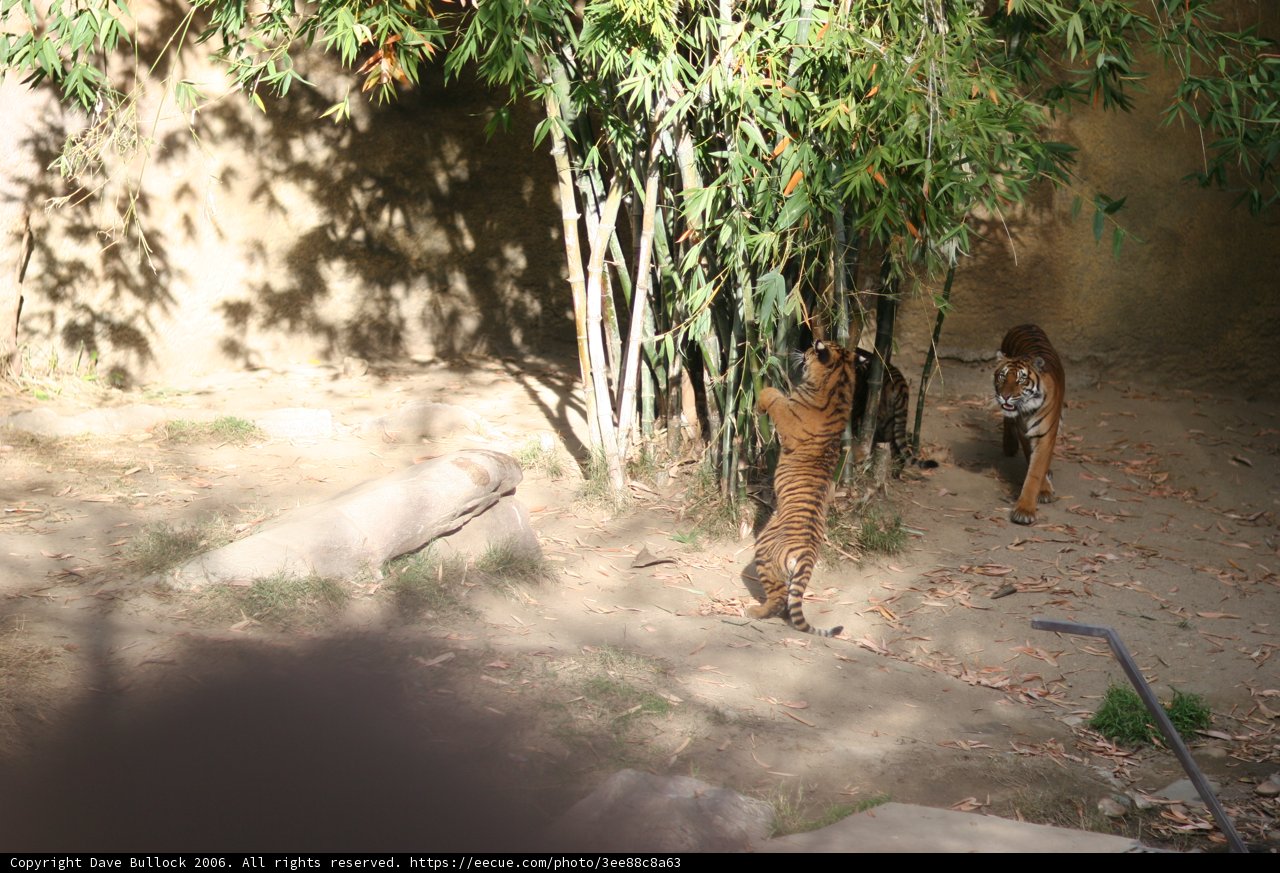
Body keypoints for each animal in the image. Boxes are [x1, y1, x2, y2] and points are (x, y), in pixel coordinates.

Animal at [746, 338, 856, 637]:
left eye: (812, 350)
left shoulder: (787, 412)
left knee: (777, 597)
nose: (802, 349)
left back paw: (755, 611)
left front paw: (760, 401)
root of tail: (806, 553)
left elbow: (773, 395)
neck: (839, 385)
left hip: (763, 554)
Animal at [993, 324, 1065, 526]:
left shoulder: (1045, 435)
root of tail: (1026, 324)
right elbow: (1031, 460)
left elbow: (1036, 470)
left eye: (1021, 379)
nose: (1005, 396)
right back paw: (1009, 446)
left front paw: (1025, 510)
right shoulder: (1024, 431)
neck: (1027, 410)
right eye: (1002, 377)